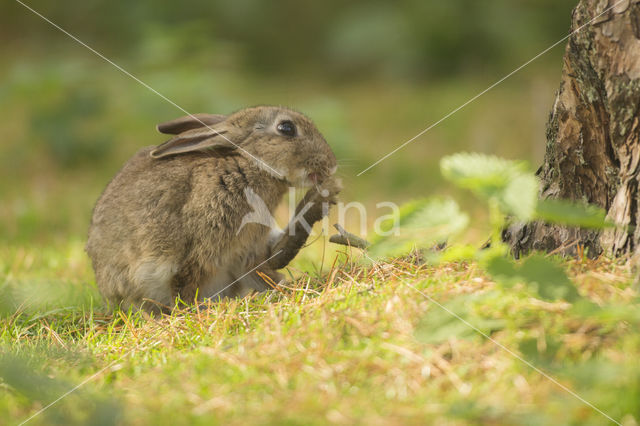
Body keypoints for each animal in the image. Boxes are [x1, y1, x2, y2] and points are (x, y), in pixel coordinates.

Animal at [87, 106, 342, 312]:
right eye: (287, 128)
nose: (331, 164)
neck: (249, 165)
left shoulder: (246, 250)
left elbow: (261, 271)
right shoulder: (202, 246)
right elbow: (185, 281)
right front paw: (193, 310)